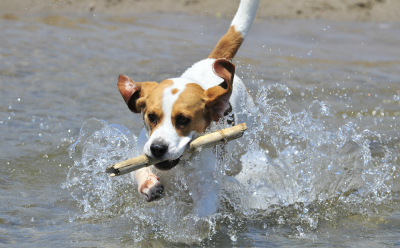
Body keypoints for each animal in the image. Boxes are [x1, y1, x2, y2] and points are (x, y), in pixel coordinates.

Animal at [116, 0, 260, 216]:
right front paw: (149, 184)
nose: (157, 148)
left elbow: (201, 217)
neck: (182, 164)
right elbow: (139, 170)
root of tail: (212, 59)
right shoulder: (141, 153)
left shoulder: (206, 196)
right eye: (152, 116)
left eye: (183, 120)